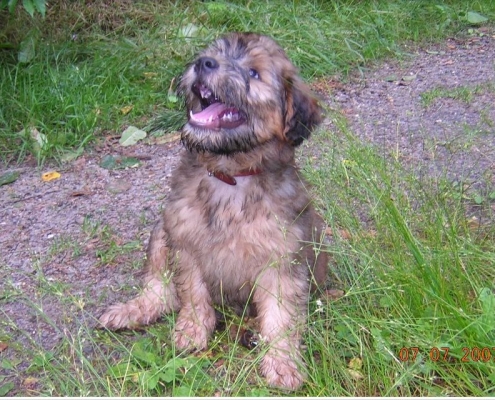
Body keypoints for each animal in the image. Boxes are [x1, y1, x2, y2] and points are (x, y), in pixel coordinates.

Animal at [98, 32, 328, 390]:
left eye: (254, 73)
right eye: (213, 54)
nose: (203, 63)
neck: (230, 175)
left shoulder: (281, 259)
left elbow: (281, 316)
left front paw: (283, 363)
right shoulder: (185, 240)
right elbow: (191, 292)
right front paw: (192, 330)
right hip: (161, 231)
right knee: (159, 290)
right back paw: (130, 311)